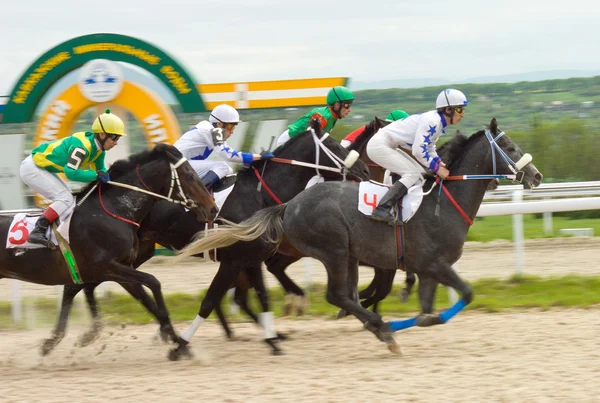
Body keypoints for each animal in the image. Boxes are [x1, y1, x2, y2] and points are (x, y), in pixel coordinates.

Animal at [0, 144, 218, 354]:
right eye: (190, 175)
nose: (213, 209)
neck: (112, 212)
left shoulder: (121, 268)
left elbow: (149, 302)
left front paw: (178, 343)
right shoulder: (107, 267)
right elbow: (153, 282)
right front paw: (176, 343)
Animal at [41, 121, 370, 356]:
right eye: (334, 145)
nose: (365, 169)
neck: (260, 196)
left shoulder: (251, 260)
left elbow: (262, 297)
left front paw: (273, 339)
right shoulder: (234, 260)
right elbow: (210, 300)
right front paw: (183, 344)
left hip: (133, 252)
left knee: (86, 283)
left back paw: (84, 334)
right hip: (124, 253)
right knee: (84, 283)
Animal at [177, 117, 544, 354]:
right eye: (509, 145)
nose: (537, 176)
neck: (445, 204)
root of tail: (290, 204)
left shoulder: (425, 269)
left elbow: (426, 311)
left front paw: (409, 317)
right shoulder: (434, 264)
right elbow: (464, 294)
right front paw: (388, 323)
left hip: (330, 255)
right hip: (334, 251)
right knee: (335, 295)